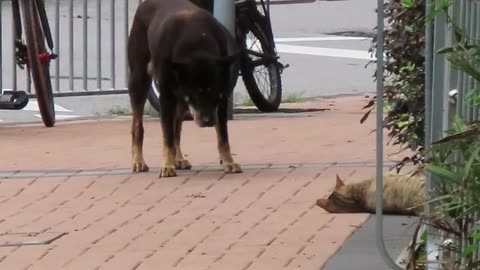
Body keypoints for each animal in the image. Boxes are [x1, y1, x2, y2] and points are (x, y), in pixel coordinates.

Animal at [127, 0, 242, 177]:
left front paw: (228, 162)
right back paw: (139, 161)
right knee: (138, 125)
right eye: (195, 93)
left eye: (216, 94)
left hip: (180, 100)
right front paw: (167, 165)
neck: (197, 43)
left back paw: (179, 159)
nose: (208, 121)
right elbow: (167, 135)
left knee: (177, 128)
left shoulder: (223, 98)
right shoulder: (166, 96)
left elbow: (223, 135)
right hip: (139, 78)